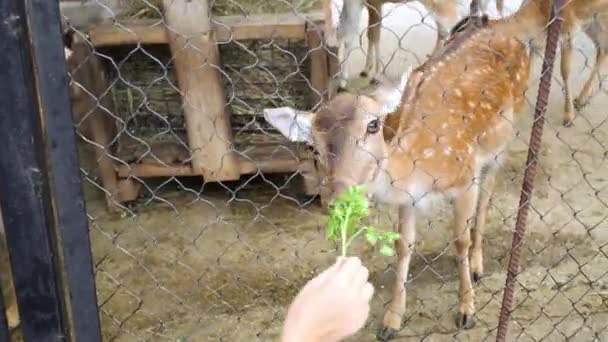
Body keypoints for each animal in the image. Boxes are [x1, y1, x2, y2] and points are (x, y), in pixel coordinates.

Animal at [264, 9, 528, 340]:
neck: (417, 170)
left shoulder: (466, 177)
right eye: (312, 146)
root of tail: (493, 22)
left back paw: (479, 265)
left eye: (373, 124)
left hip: (503, 139)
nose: (342, 200)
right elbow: (404, 247)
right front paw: (391, 321)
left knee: (489, 193)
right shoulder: (408, 200)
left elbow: (460, 240)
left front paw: (467, 310)